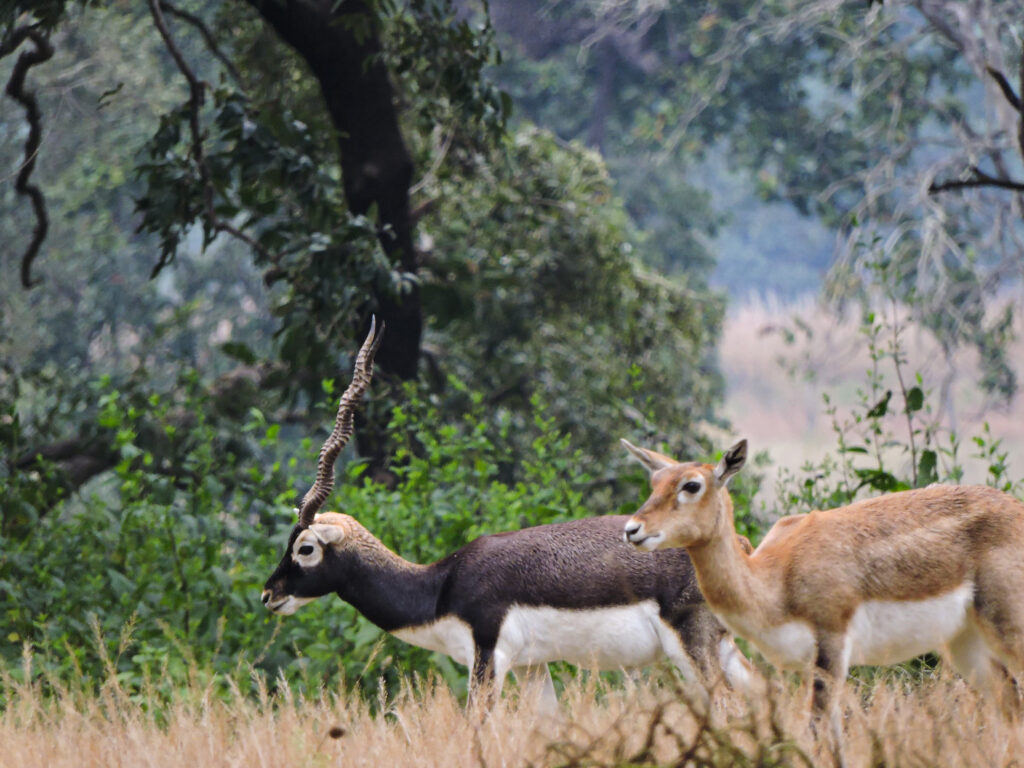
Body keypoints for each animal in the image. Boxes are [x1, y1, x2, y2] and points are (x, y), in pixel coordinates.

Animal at [260, 321, 753, 712]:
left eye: (305, 548)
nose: (269, 595)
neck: (441, 585)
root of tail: (739, 548)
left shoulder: (488, 658)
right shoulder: (531, 667)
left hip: (691, 645)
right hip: (725, 647)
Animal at [618, 438, 1024, 757]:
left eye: (691, 485)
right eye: (655, 481)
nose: (633, 529)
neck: (775, 578)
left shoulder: (832, 645)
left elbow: (816, 732)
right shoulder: (807, 665)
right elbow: (831, 735)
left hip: (1008, 628)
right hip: (965, 642)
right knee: (1009, 704)